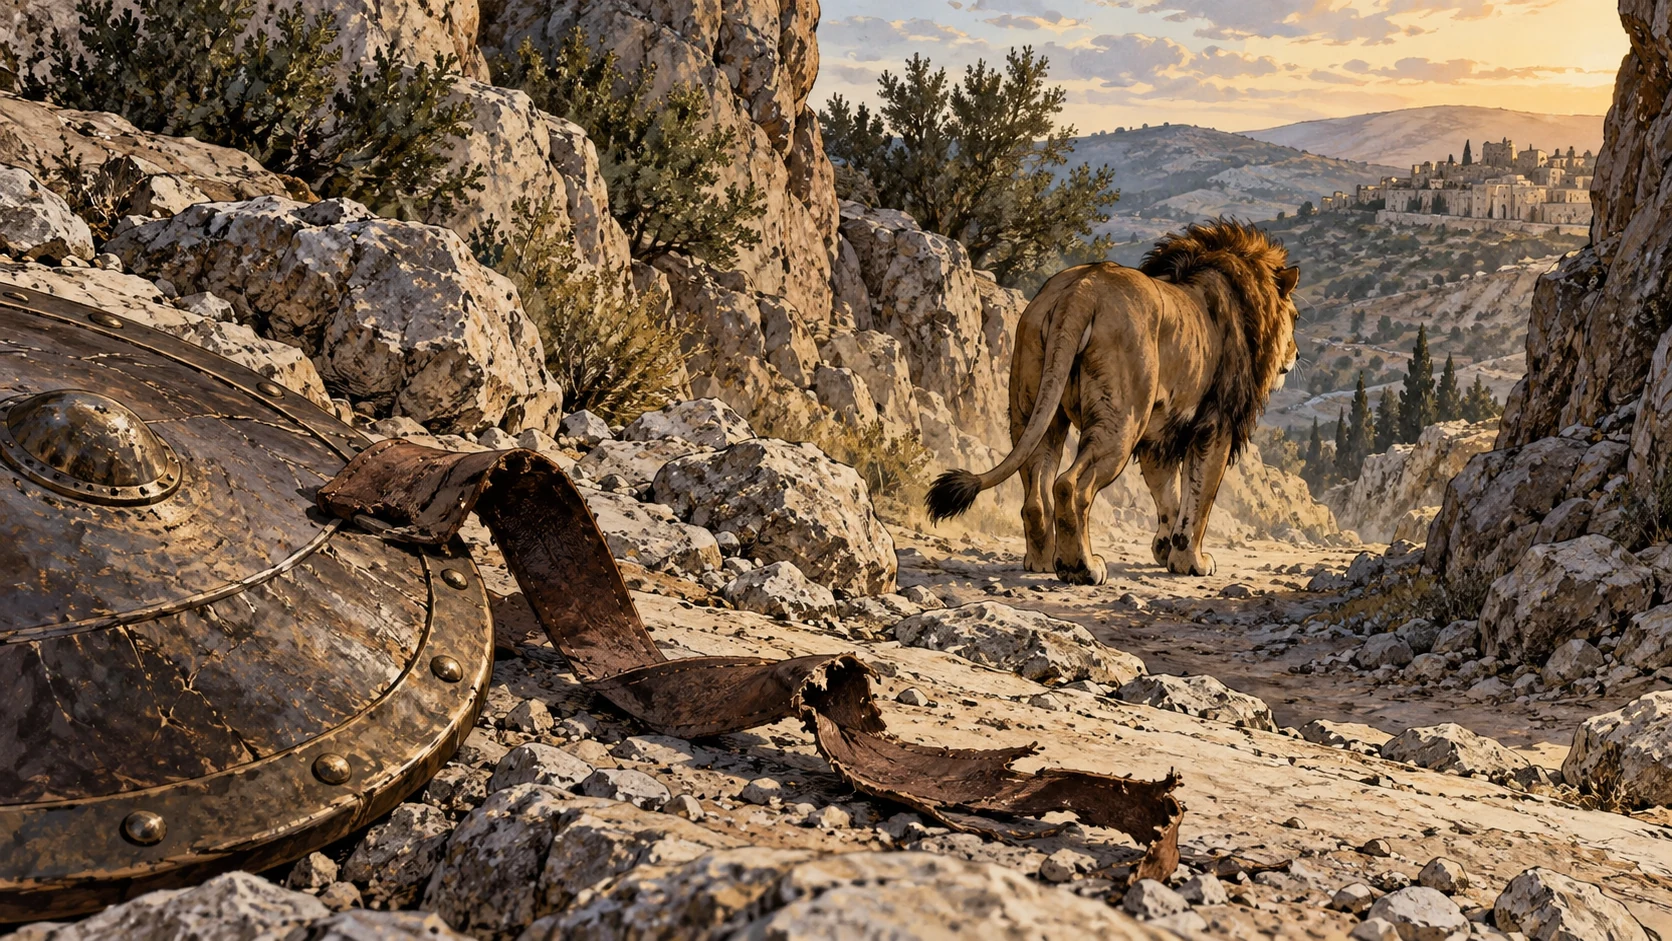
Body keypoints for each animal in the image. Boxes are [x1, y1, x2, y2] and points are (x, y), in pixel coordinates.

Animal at [925, 219, 1301, 584]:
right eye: (1296, 317)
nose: (1296, 354)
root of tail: (1081, 290)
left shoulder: (1157, 438)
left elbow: (1169, 496)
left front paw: (1165, 550)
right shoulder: (1215, 425)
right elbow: (1199, 497)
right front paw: (1191, 562)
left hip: (1035, 407)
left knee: (1035, 495)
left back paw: (1042, 563)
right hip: (1120, 421)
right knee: (1070, 486)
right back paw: (1082, 567)